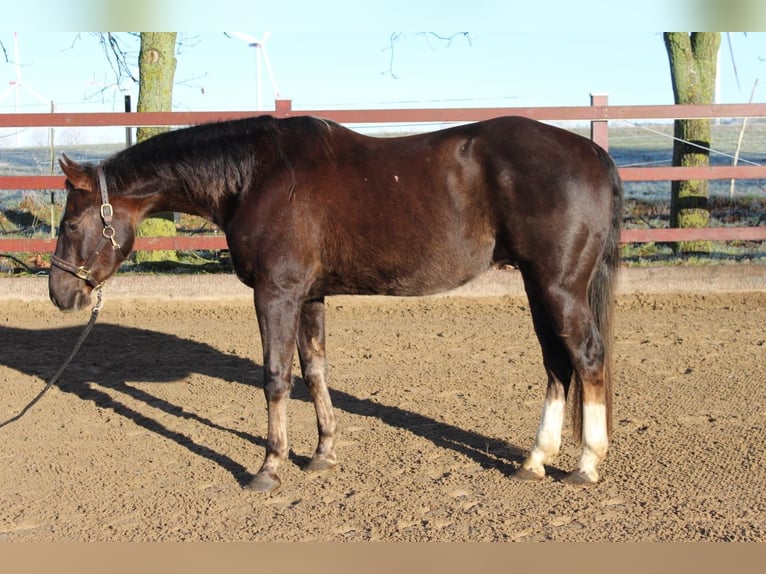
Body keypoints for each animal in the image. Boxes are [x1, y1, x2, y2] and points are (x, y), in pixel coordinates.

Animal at [48, 113, 624, 496]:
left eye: (71, 223)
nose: (60, 293)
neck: (257, 175)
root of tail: (593, 154)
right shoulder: (311, 295)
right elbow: (314, 371)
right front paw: (322, 454)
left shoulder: (276, 293)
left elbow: (276, 377)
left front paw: (269, 467)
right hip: (537, 284)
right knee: (557, 364)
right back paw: (534, 460)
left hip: (559, 286)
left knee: (588, 358)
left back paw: (587, 463)